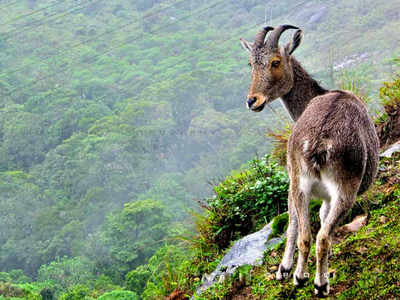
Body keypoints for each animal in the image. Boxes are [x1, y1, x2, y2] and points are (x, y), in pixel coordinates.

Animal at [239, 25, 380, 296]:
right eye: (251, 63)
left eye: (275, 61)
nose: (253, 101)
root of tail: (318, 143)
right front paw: (288, 268)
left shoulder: (297, 180)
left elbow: (297, 219)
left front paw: (285, 269)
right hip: (344, 188)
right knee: (320, 236)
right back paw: (318, 283)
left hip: (304, 184)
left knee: (307, 234)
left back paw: (301, 278)